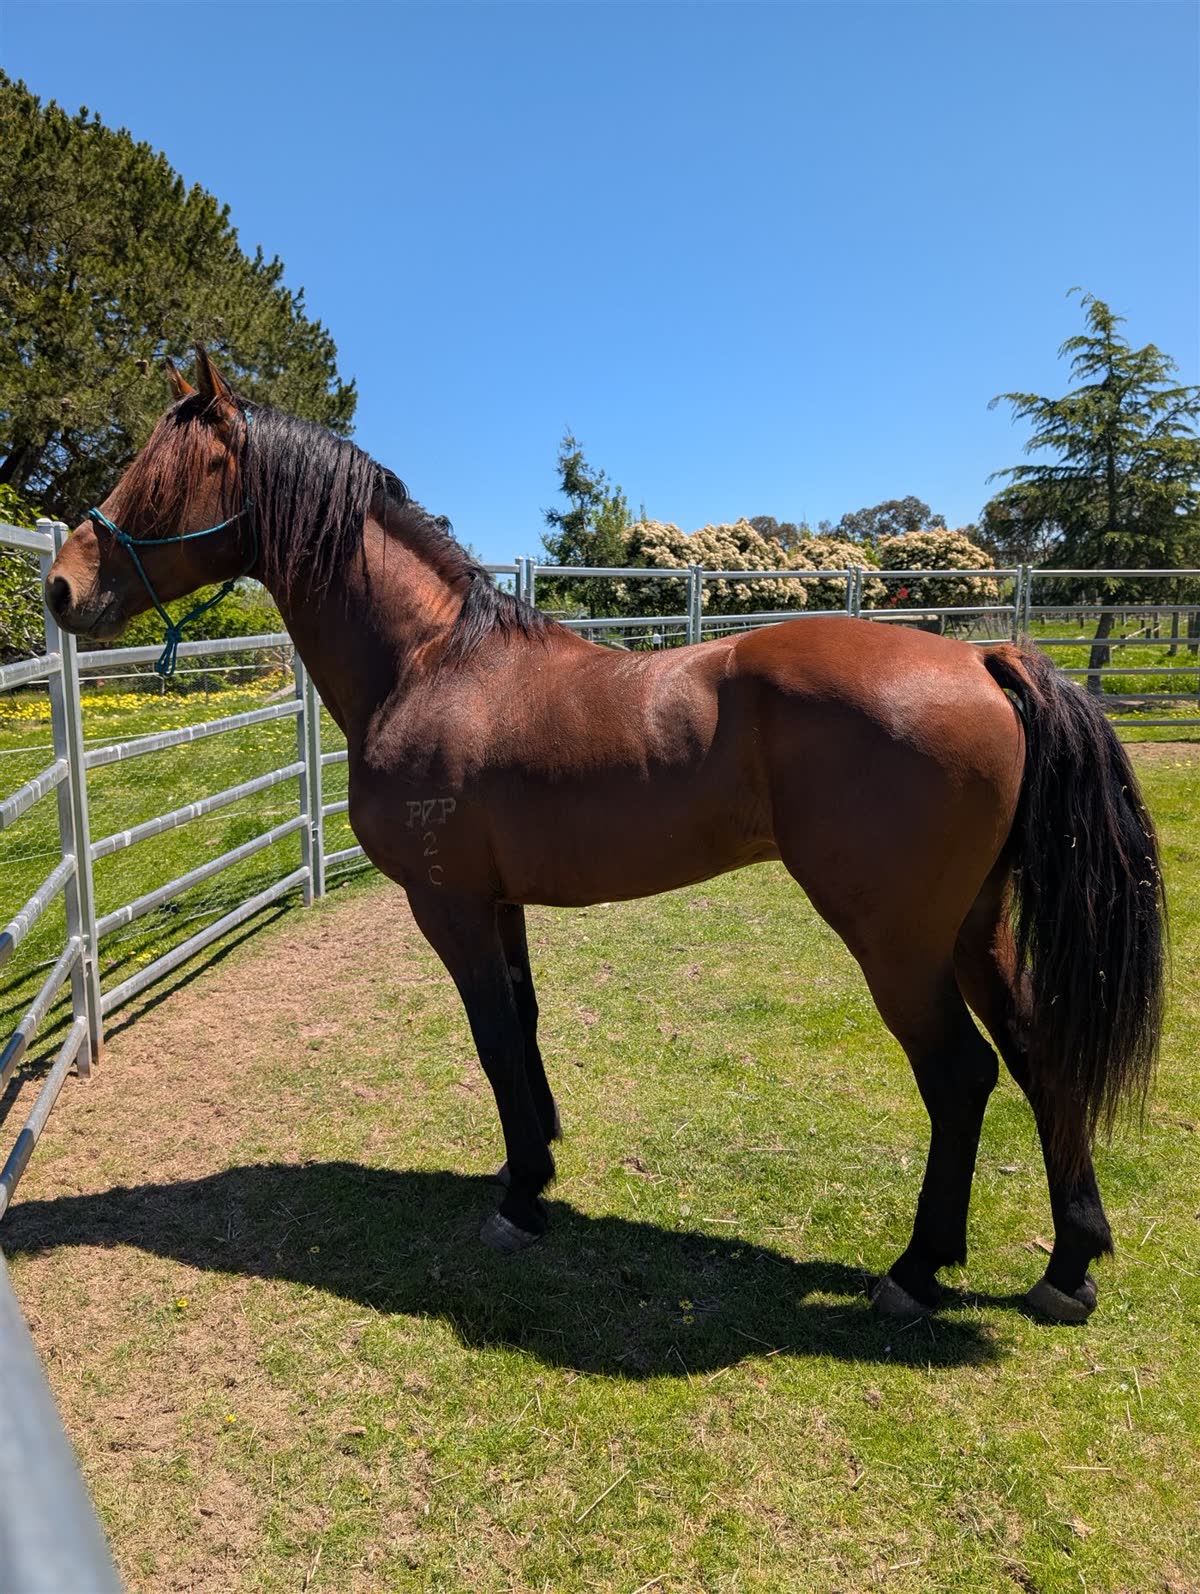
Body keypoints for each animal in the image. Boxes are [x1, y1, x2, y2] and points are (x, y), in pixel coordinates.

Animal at [45, 349, 1166, 1324]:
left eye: (165, 473)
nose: (59, 586)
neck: (433, 662)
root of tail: (982, 658)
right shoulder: (498, 901)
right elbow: (524, 1027)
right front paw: (531, 1163)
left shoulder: (449, 904)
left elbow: (493, 1035)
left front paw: (518, 1201)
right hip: (973, 928)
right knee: (1039, 1052)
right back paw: (1069, 1266)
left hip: (897, 942)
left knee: (963, 1076)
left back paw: (918, 1269)